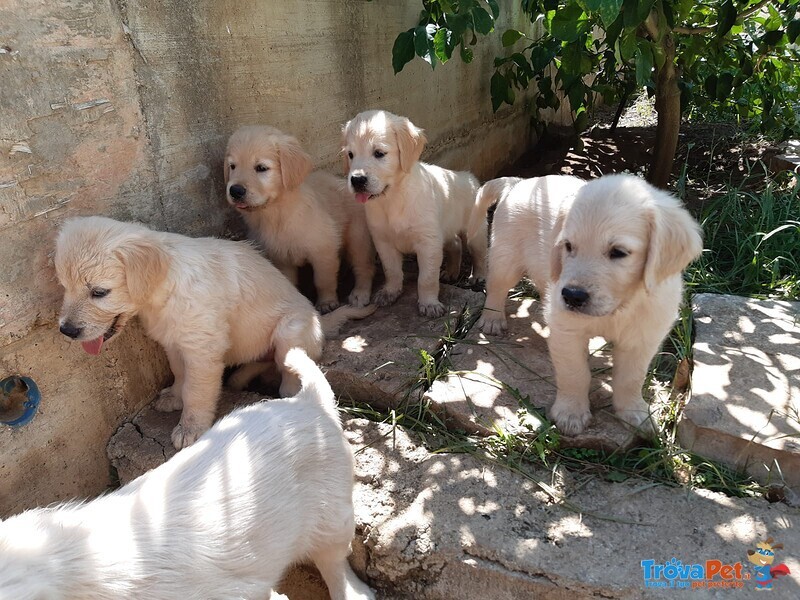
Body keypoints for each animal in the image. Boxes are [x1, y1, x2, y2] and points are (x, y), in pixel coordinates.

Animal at [55, 218, 376, 448]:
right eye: (64, 287)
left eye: (99, 292)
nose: (66, 330)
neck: (163, 289)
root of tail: (319, 321)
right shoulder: (175, 342)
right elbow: (179, 374)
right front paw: (174, 397)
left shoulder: (202, 348)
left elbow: (196, 390)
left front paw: (190, 428)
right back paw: (239, 378)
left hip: (290, 330)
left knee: (286, 365)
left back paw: (286, 392)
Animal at [225, 124, 376, 312]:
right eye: (232, 166)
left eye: (261, 168)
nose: (235, 191)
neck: (277, 214)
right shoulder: (281, 258)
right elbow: (288, 283)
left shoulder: (323, 250)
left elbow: (323, 280)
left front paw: (326, 302)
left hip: (357, 236)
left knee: (364, 265)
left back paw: (360, 294)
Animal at [340, 109, 484, 316]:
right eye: (350, 154)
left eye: (379, 153)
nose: (357, 180)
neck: (392, 198)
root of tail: (469, 177)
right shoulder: (383, 241)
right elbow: (391, 270)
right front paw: (390, 292)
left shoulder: (428, 242)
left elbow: (427, 278)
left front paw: (429, 303)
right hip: (445, 231)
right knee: (455, 244)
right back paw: (451, 271)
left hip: (474, 231)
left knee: (479, 252)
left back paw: (479, 275)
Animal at [472, 173, 704, 436]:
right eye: (568, 246)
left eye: (618, 252)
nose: (572, 296)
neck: (618, 307)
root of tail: (519, 182)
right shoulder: (568, 331)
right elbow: (575, 374)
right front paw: (571, 413)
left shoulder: (642, 337)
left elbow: (631, 379)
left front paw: (635, 412)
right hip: (506, 257)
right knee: (497, 287)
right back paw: (492, 319)